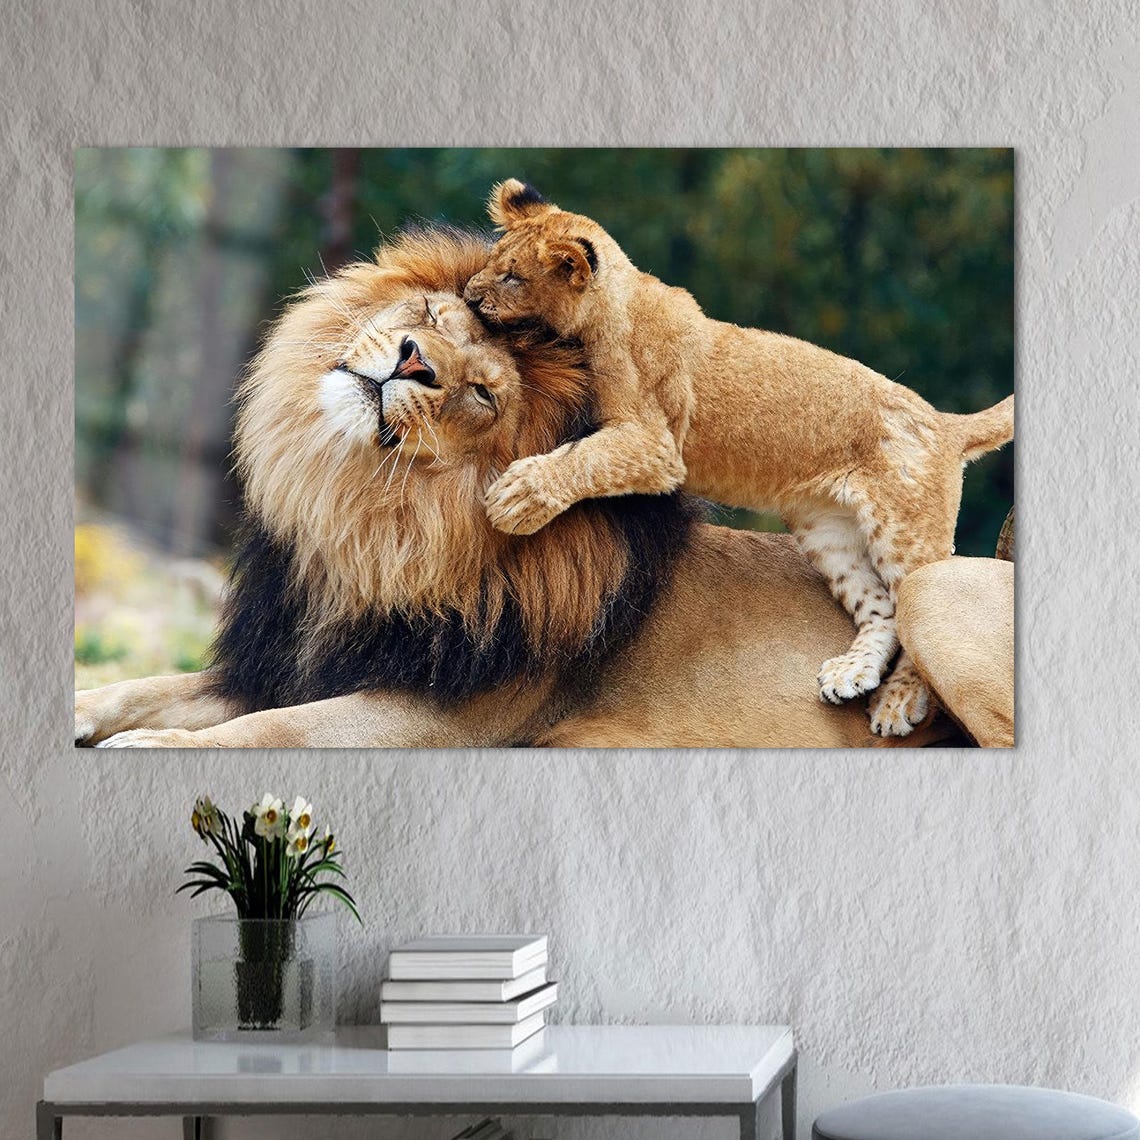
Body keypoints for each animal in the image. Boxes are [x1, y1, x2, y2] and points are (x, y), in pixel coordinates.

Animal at [75, 226, 953, 749]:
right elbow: (144, 687)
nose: (410, 362)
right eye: (434, 316)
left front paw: (148, 748)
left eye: (483, 394)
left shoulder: (431, 718)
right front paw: (92, 714)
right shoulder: (283, 664)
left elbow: (273, 733)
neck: (374, 525)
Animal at [463, 180, 1015, 737]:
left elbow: (586, 457)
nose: (467, 295)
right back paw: (851, 674)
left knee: (915, 605)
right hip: (829, 534)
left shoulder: (656, 446)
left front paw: (516, 499)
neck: (613, 308)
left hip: (905, 534)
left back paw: (897, 701)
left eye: (512, 277)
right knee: (881, 610)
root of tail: (945, 422)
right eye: (493, 262)